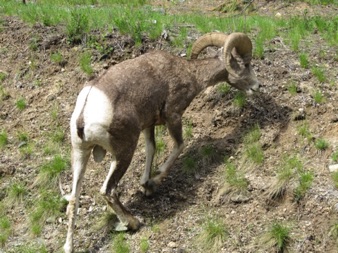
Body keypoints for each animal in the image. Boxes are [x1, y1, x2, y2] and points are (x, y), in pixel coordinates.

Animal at [62, 32, 258, 252]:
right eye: (246, 64)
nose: (256, 86)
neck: (189, 73)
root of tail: (84, 115)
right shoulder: (173, 116)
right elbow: (179, 145)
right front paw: (154, 181)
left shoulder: (149, 125)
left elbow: (151, 149)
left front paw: (145, 185)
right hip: (123, 153)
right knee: (108, 190)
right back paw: (134, 223)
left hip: (80, 154)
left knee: (74, 199)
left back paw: (68, 246)